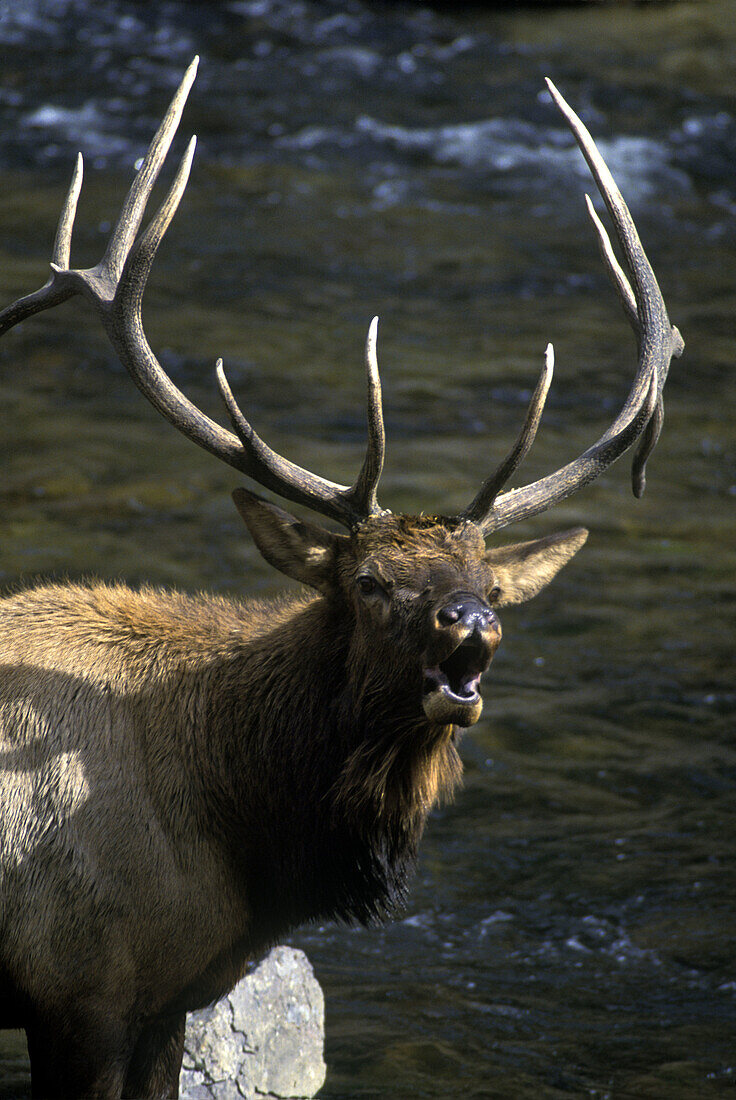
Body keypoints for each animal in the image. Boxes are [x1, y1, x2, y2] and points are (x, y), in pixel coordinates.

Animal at [0, 60, 682, 1100]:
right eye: (367, 581)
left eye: (491, 580)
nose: (472, 623)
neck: (240, 833)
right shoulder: (78, 989)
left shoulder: (167, 998)